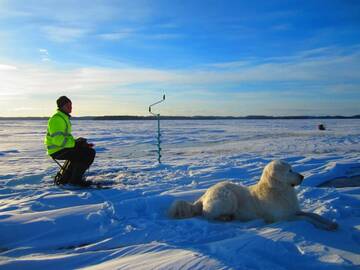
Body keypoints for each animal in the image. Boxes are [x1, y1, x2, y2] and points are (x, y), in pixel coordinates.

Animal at [169, 159, 338, 231]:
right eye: (289, 170)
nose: (302, 176)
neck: (279, 190)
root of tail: (204, 195)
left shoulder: (295, 210)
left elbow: (313, 215)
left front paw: (330, 223)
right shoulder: (284, 218)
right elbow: (307, 219)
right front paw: (324, 227)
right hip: (228, 197)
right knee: (208, 215)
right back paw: (225, 218)